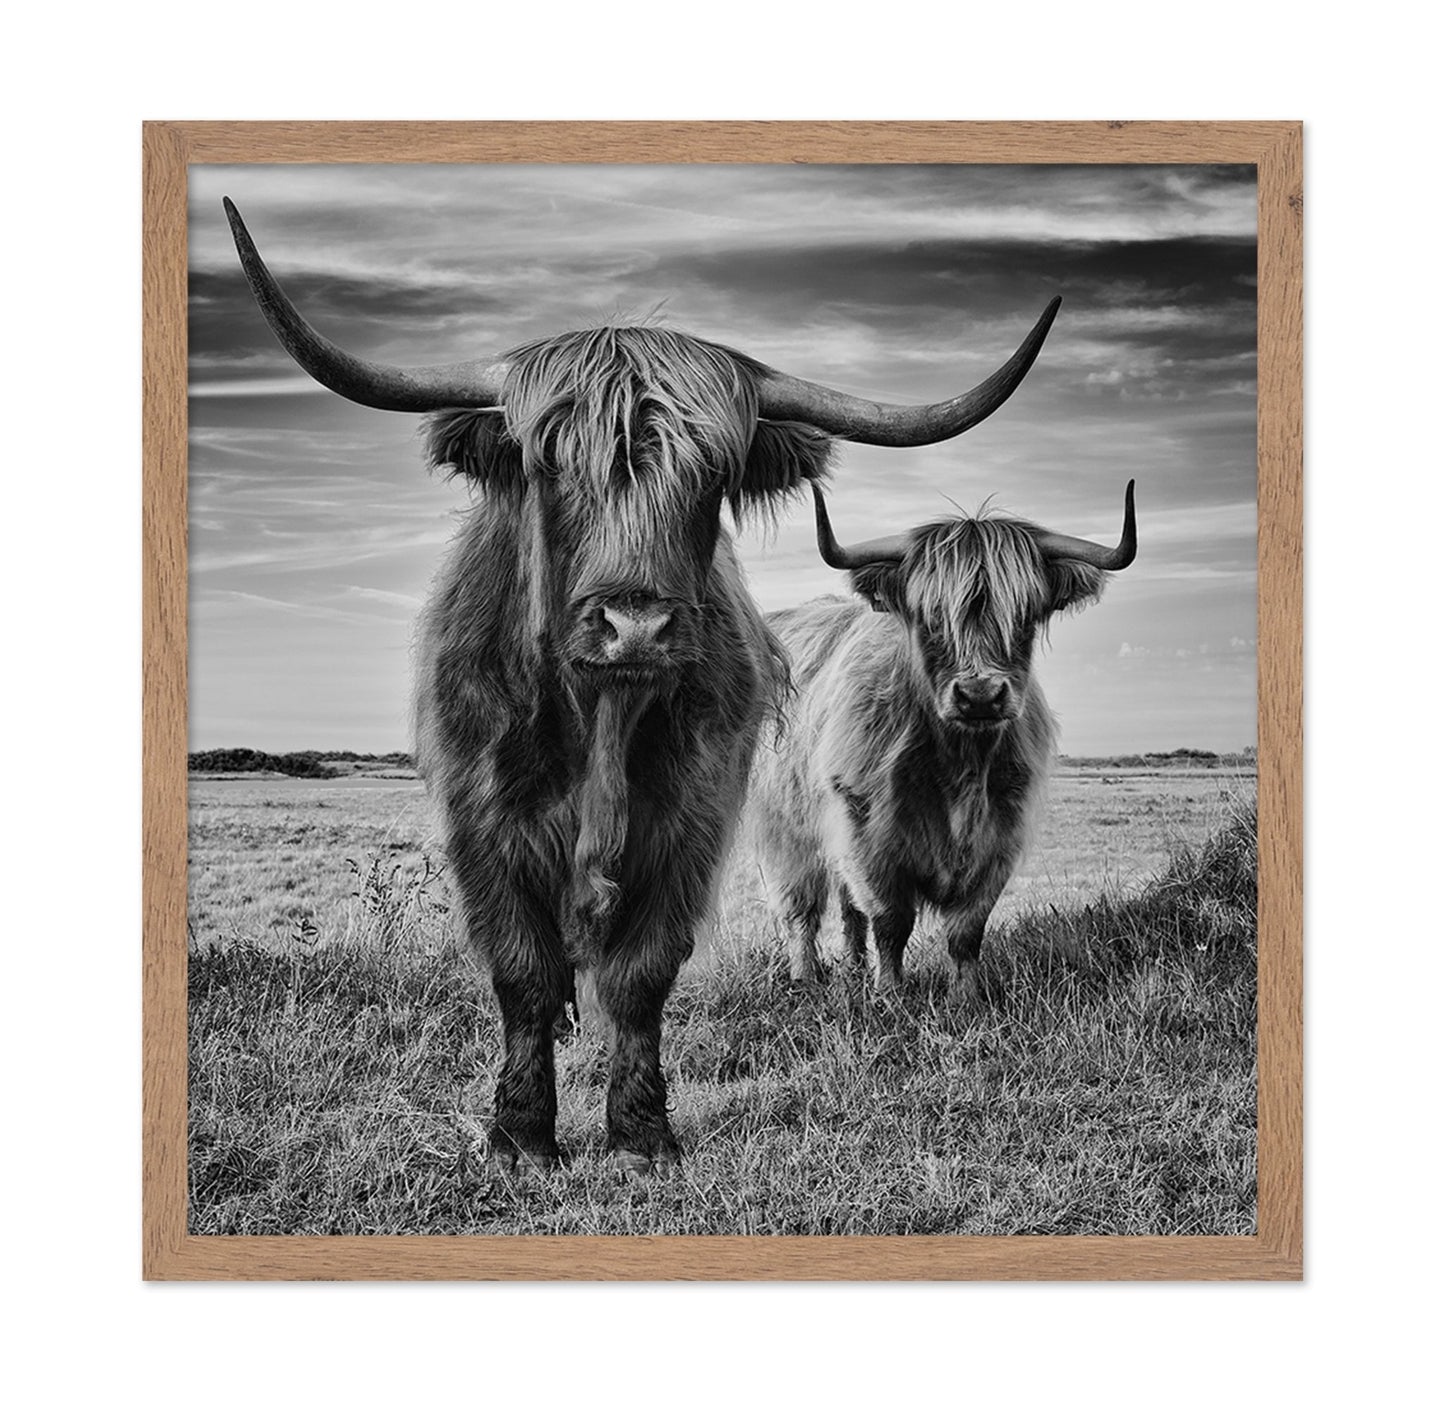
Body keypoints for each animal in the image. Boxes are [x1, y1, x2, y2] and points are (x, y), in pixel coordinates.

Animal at [223, 197, 1062, 1172]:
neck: (601, 720)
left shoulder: (692, 818)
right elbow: (523, 970)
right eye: (551, 464)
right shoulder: (481, 822)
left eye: (712, 475)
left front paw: (640, 1132)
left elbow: (642, 971)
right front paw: (520, 1135)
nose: (635, 625)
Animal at [748, 481, 1136, 1005]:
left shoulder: (999, 837)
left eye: (1025, 617)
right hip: (787, 829)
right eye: (930, 618)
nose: (980, 695)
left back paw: (853, 969)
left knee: (848, 910)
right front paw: (891, 994)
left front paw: (965, 997)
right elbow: (890, 920)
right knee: (802, 907)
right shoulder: (867, 834)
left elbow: (966, 929)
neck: (960, 765)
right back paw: (806, 977)